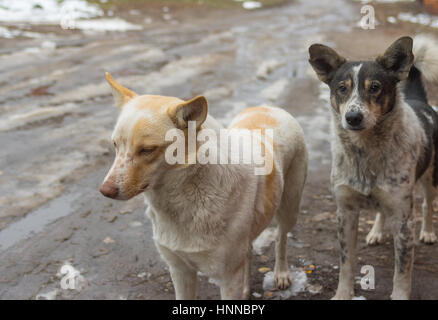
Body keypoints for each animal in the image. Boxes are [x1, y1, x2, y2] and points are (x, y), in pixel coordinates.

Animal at [308, 35, 438, 300]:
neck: (364, 153)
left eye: (375, 87)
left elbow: (402, 269)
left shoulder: (403, 218)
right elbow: (346, 263)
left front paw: (400, 295)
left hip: (431, 179)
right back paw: (376, 232)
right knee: (380, 211)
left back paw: (429, 232)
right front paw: (342, 294)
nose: (353, 118)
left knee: (428, 204)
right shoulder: (345, 213)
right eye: (342, 88)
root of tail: (420, 101)